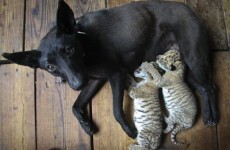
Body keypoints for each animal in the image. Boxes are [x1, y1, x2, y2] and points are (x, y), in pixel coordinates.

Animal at [1, 0, 217, 138]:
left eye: (69, 50)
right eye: (51, 67)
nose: (77, 84)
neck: (84, 44)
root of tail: (188, 8)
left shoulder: (116, 75)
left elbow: (116, 110)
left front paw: (130, 131)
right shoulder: (95, 80)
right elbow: (75, 106)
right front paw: (86, 125)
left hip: (194, 58)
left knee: (211, 87)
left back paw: (214, 118)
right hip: (181, 68)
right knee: (204, 89)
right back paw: (208, 116)